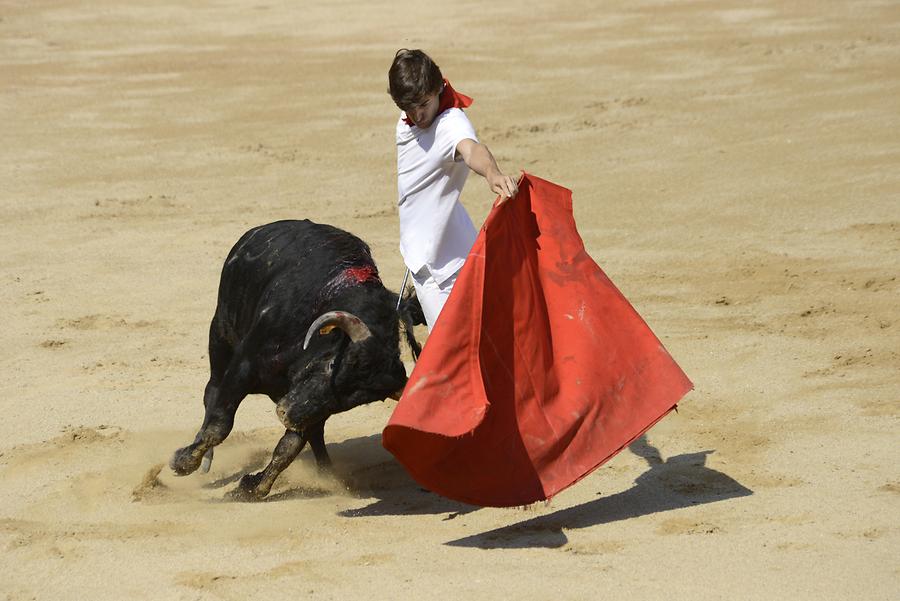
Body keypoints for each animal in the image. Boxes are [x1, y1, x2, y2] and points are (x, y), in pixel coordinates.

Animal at [170, 218, 422, 500]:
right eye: (334, 365)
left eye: (352, 401)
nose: (284, 414)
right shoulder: (244, 367)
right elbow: (220, 423)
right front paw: (182, 462)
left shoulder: (311, 406)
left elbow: (289, 446)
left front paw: (253, 488)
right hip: (220, 334)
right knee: (211, 392)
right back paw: (203, 458)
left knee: (315, 434)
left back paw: (327, 474)